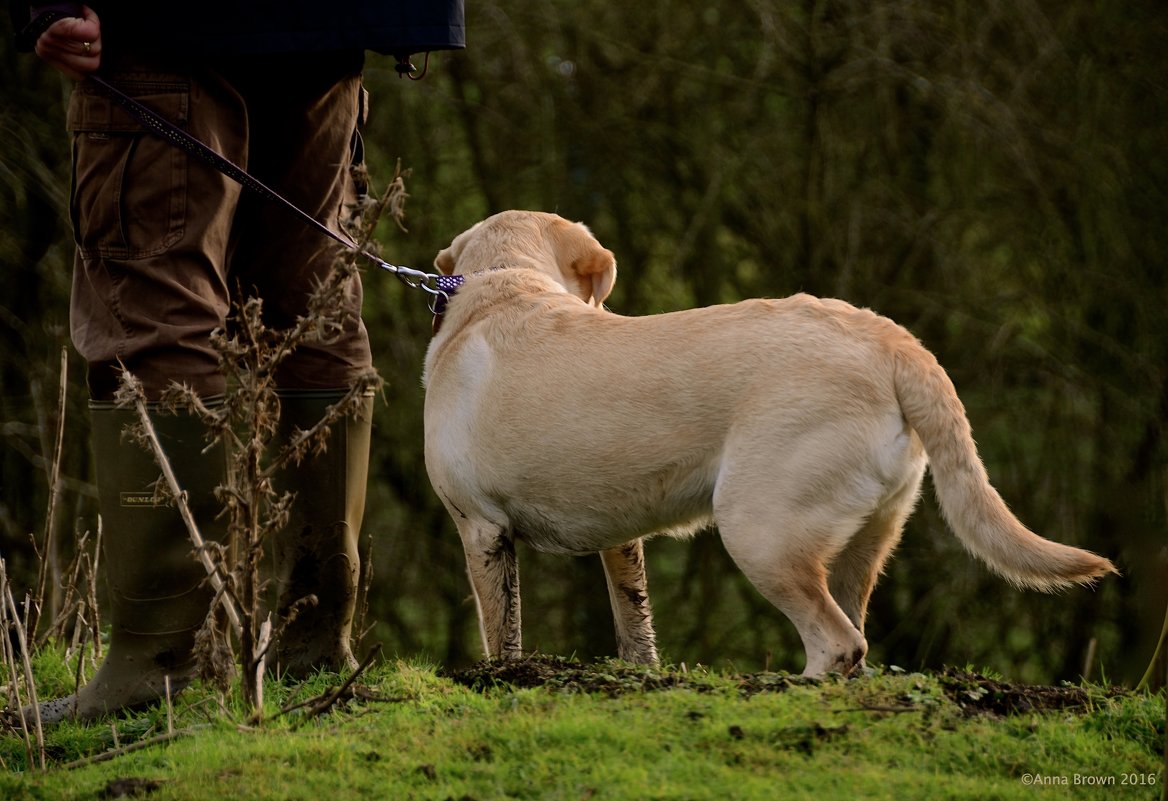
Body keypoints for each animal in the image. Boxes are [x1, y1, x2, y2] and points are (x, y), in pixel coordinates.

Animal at [425, 210, 1116, 672]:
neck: (503, 286)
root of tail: (893, 341)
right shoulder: (622, 542)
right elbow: (635, 626)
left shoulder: (481, 528)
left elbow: (501, 634)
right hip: (863, 540)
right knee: (855, 638)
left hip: (759, 529)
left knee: (837, 642)